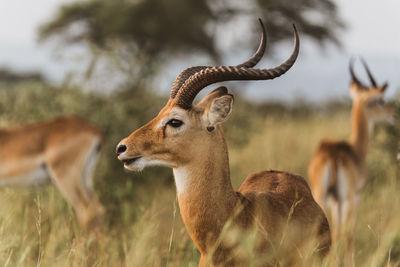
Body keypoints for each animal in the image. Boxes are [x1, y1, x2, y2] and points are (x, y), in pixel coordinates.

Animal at [308, 58, 396, 264]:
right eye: (380, 99)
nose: (394, 114)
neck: (355, 149)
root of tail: (331, 155)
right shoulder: (356, 197)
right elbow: (350, 234)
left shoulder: (335, 202)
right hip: (346, 200)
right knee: (342, 233)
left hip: (320, 196)